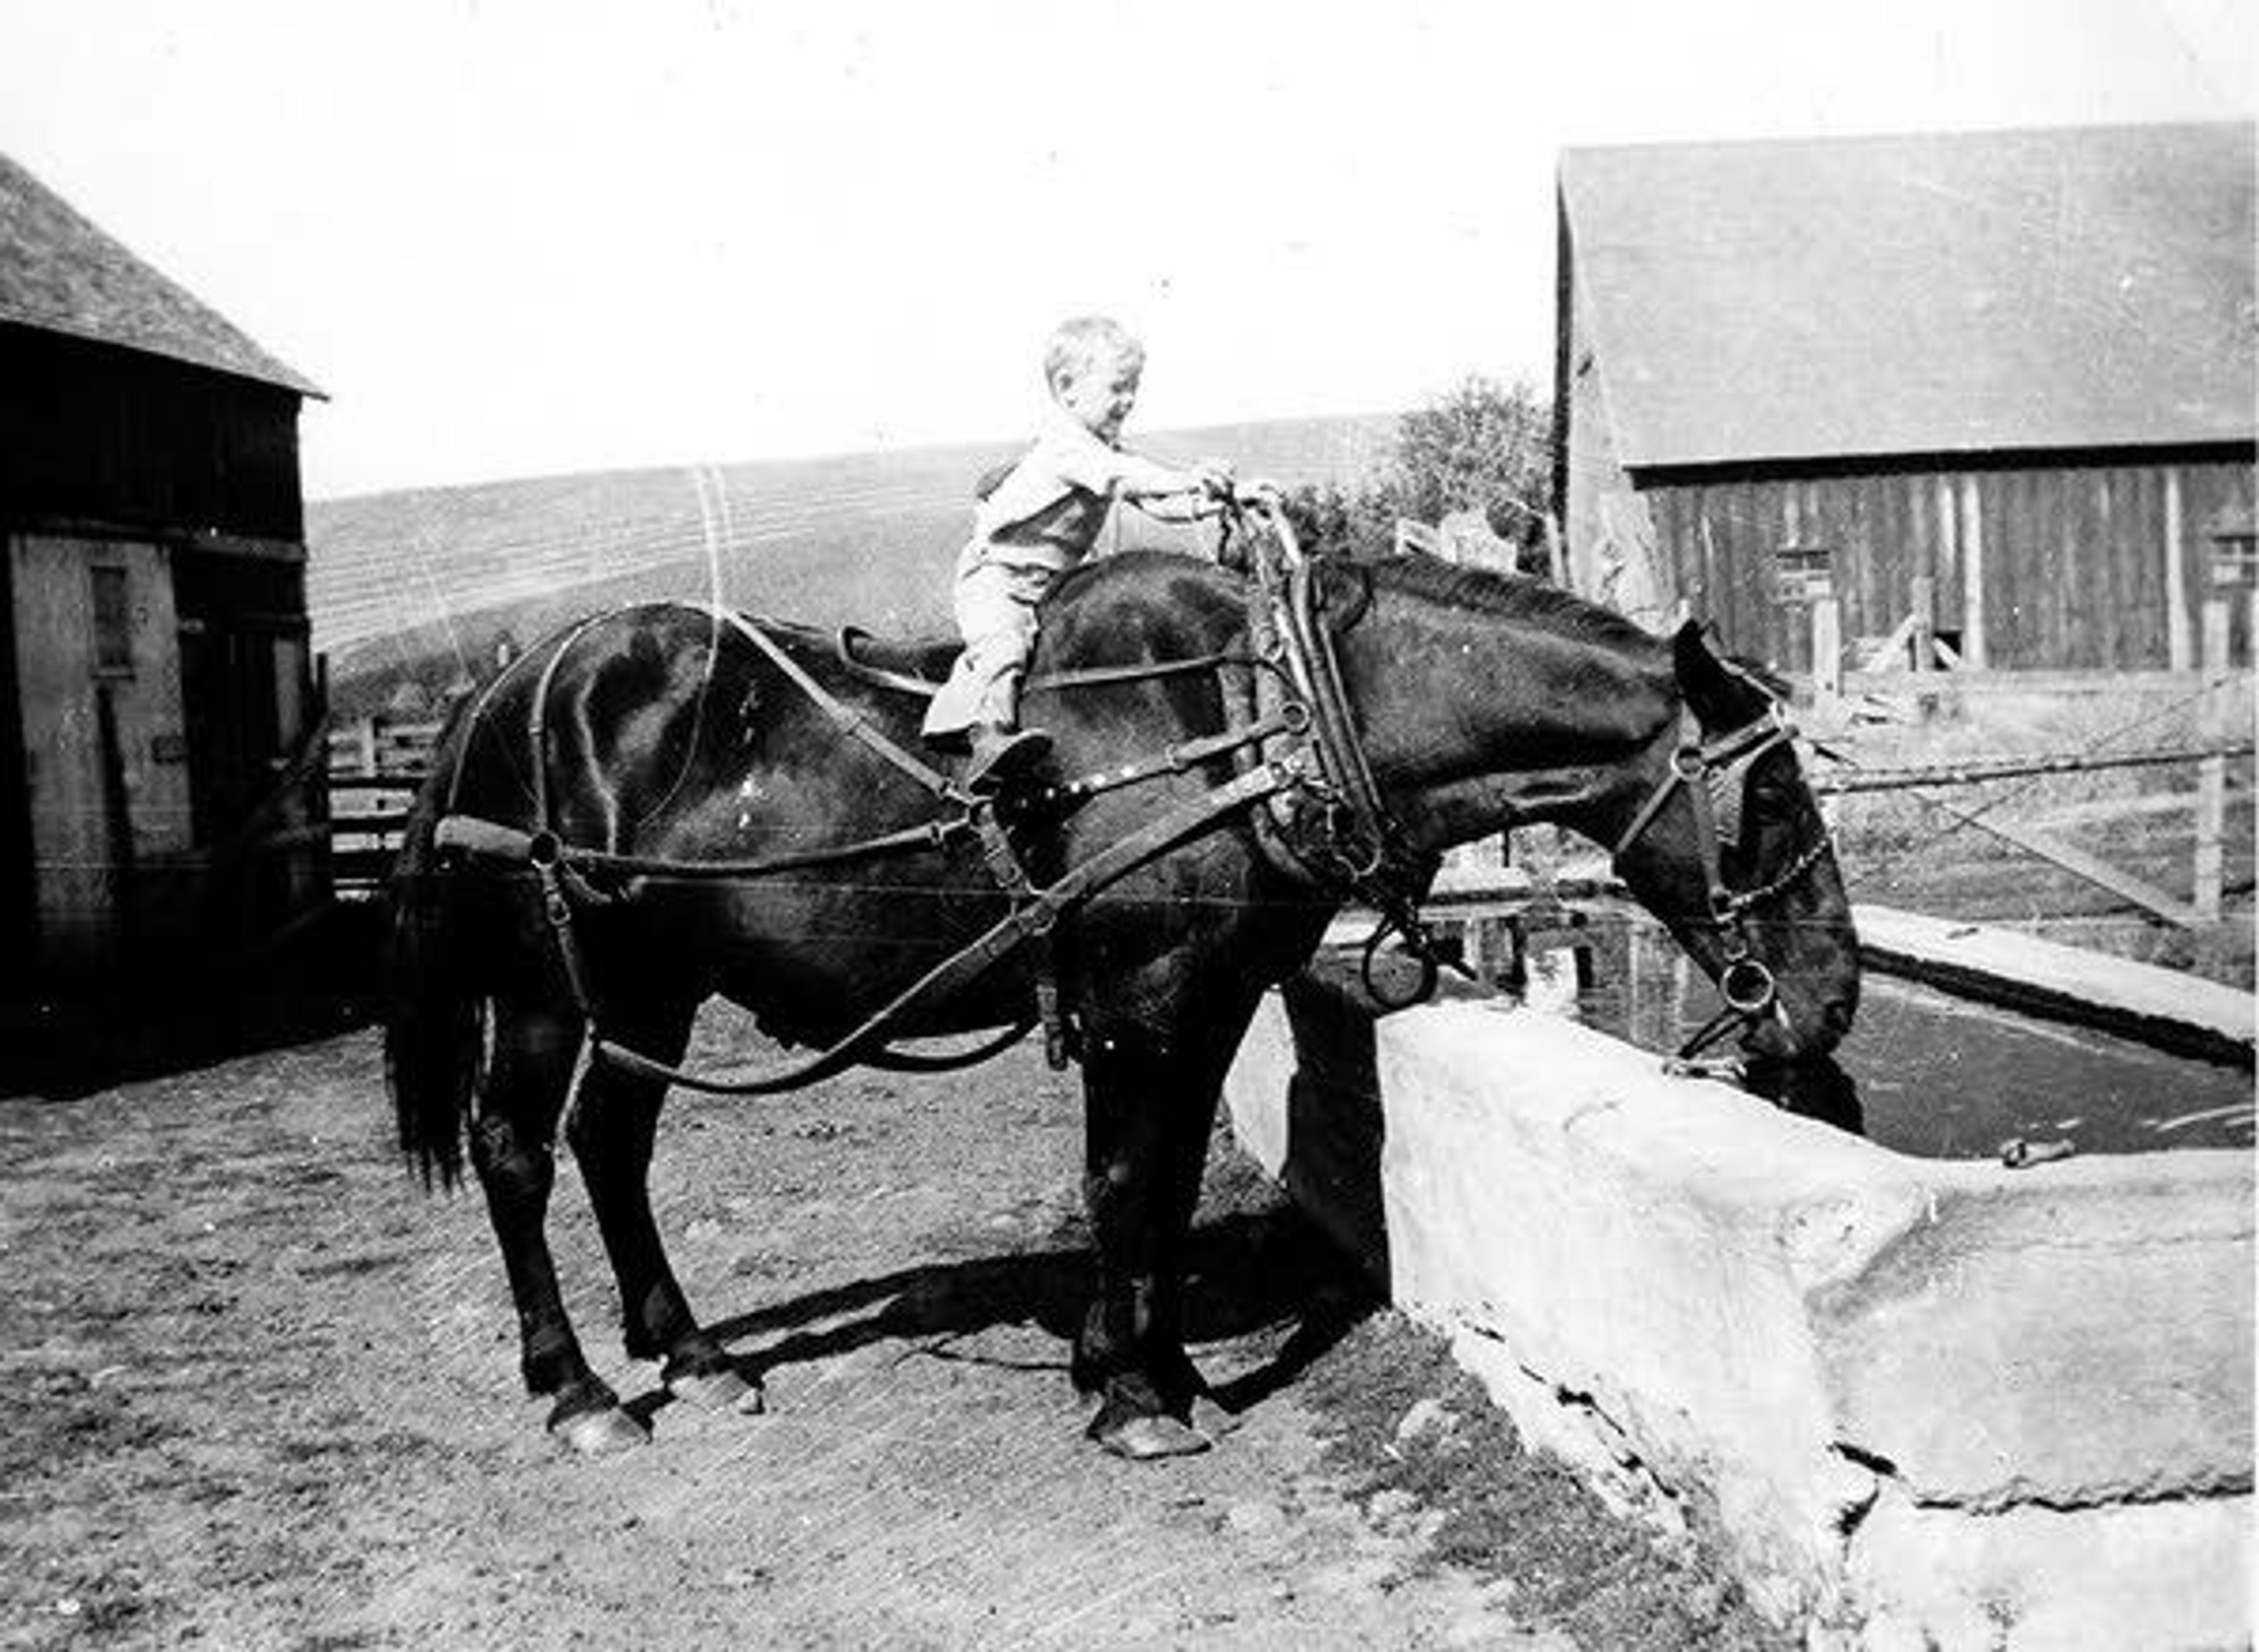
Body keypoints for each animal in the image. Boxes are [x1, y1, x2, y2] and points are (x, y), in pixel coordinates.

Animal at [388, 533, 1861, 1464]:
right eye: (1777, 796)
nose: (1834, 995)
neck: (1246, 724)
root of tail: (509, 687)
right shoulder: (1137, 1005)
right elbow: (1121, 1179)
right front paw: (1134, 1397)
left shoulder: (1208, 1006)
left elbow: (1159, 1184)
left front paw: (1150, 1367)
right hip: (547, 990)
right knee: (519, 1151)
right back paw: (578, 1389)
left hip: (651, 991)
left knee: (611, 1145)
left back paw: (692, 1354)